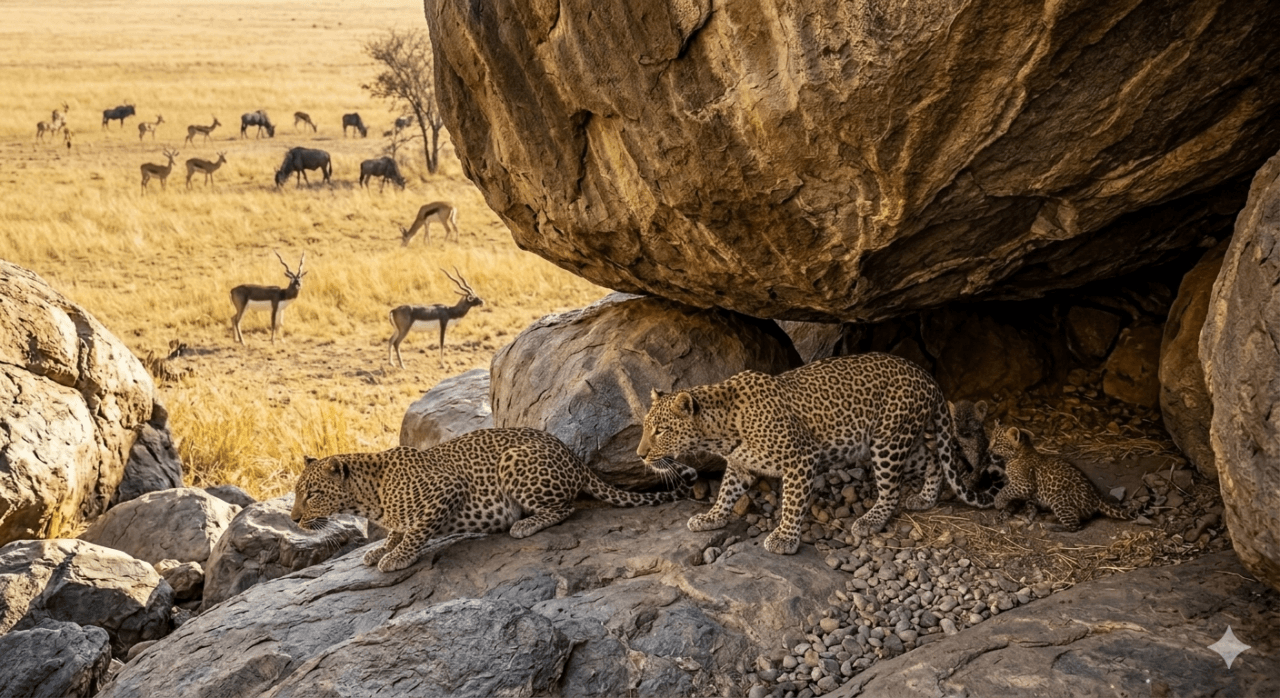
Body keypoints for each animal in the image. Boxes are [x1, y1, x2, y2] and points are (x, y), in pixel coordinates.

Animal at [290, 427, 695, 572]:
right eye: (296, 494)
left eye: (312, 494)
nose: (293, 519)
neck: (369, 497)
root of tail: (573, 456)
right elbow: (398, 530)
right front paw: (380, 548)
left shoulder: (446, 489)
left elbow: (417, 530)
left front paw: (396, 557)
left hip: (513, 462)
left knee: (566, 506)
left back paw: (524, 524)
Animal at [637, 353, 996, 555]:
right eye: (645, 427)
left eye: (661, 431)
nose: (640, 455)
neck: (720, 431)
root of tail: (927, 376)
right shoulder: (740, 465)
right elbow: (726, 492)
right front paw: (711, 518)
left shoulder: (800, 458)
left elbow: (793, 503)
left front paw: (785, 538)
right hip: (899, 441)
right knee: (933, 459)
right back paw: (925, 498)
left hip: (887, 441)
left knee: (891, 489)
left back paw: (870, 520)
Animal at [987, 422, 1138, 531]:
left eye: (996, 442)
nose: (988, 450)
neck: (1020, 453)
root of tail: (1097, 497)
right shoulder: (1022, 490)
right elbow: (1013, 498)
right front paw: (1006, 511)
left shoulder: (1024, 485)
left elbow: (1005, 491)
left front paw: (998, 502)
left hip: (1059, 499)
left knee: (1075, 526)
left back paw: (1051, 525)